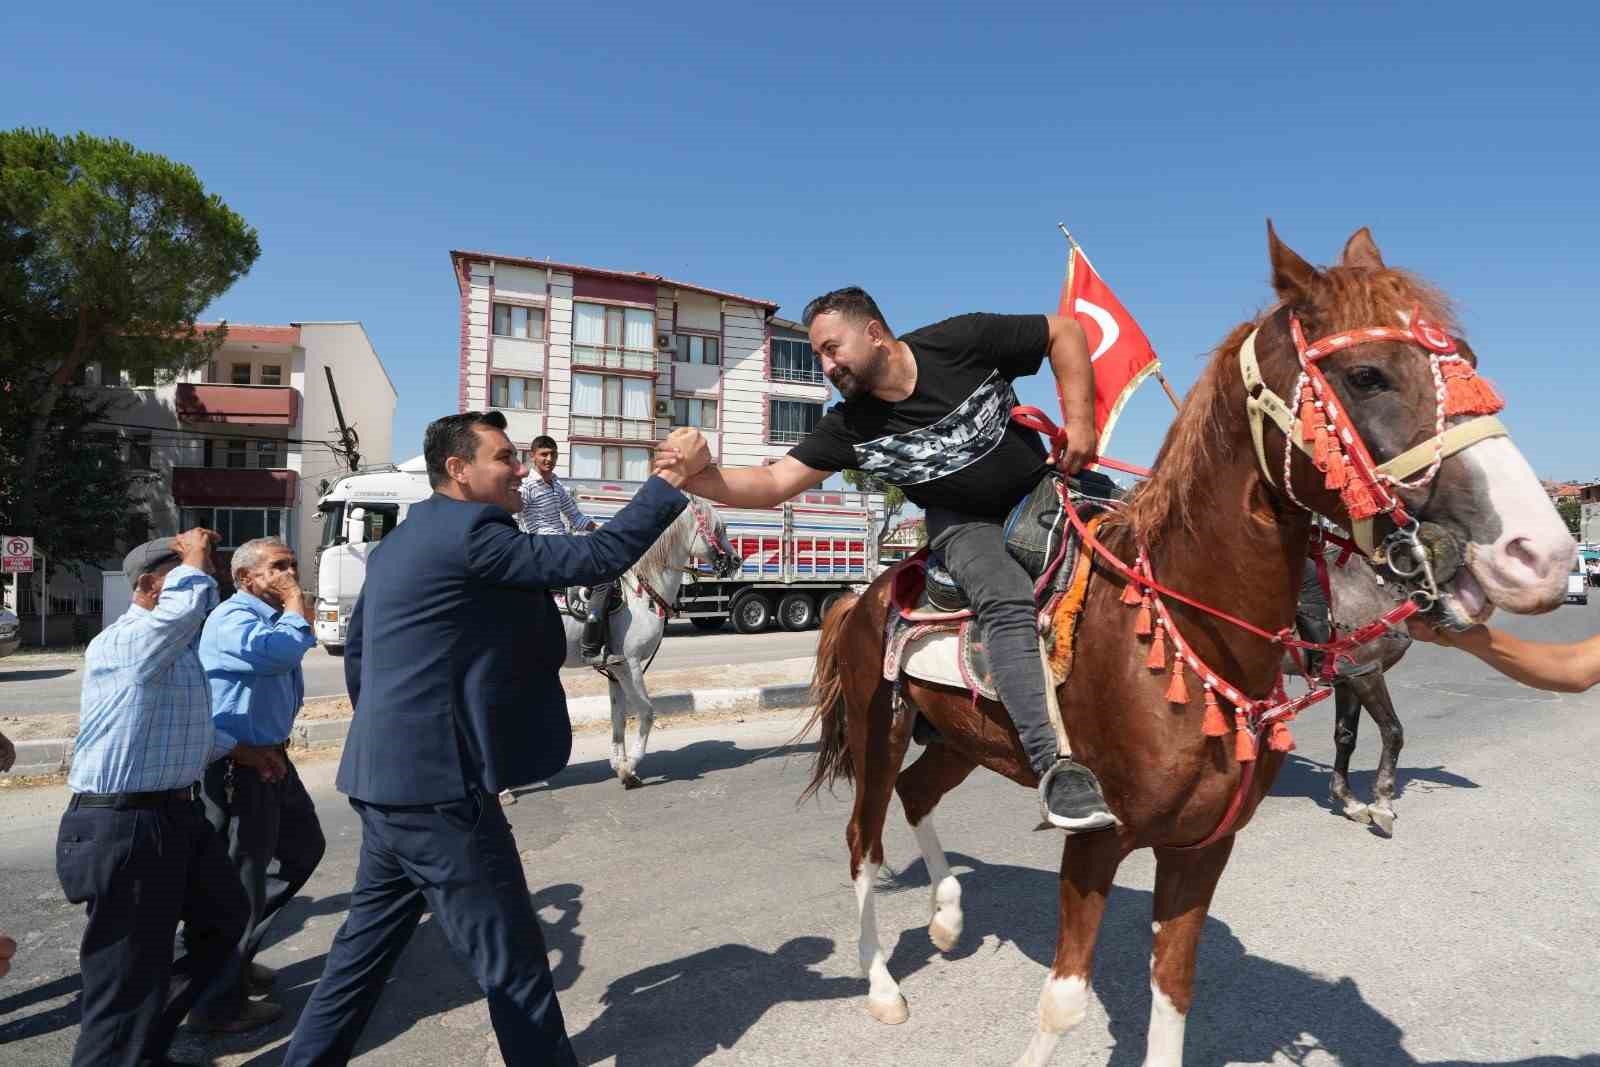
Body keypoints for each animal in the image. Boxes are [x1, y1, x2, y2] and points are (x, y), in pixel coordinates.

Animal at [553, 495, 732, 790]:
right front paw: (630, 768)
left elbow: (618, 716)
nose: (736, 559)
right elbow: (646, 712)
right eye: (720, 529)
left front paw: (619, 765)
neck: (643, 592)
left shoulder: (614, 669)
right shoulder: (630, 663)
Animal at [793, 223, 1568, 1062]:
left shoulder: (1203, 846)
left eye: (1469, 358)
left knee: (916, 794)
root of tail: (864, 594)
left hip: (961, 738)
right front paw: (1375, 802)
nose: (1541, 550)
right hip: (878, 727)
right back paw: (882, 986)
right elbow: (1063, 1001)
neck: (1184, 635)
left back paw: (947, 916)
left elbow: (1174, 987)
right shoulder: (1095, 845)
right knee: (862, 839)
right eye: (1366, 374)